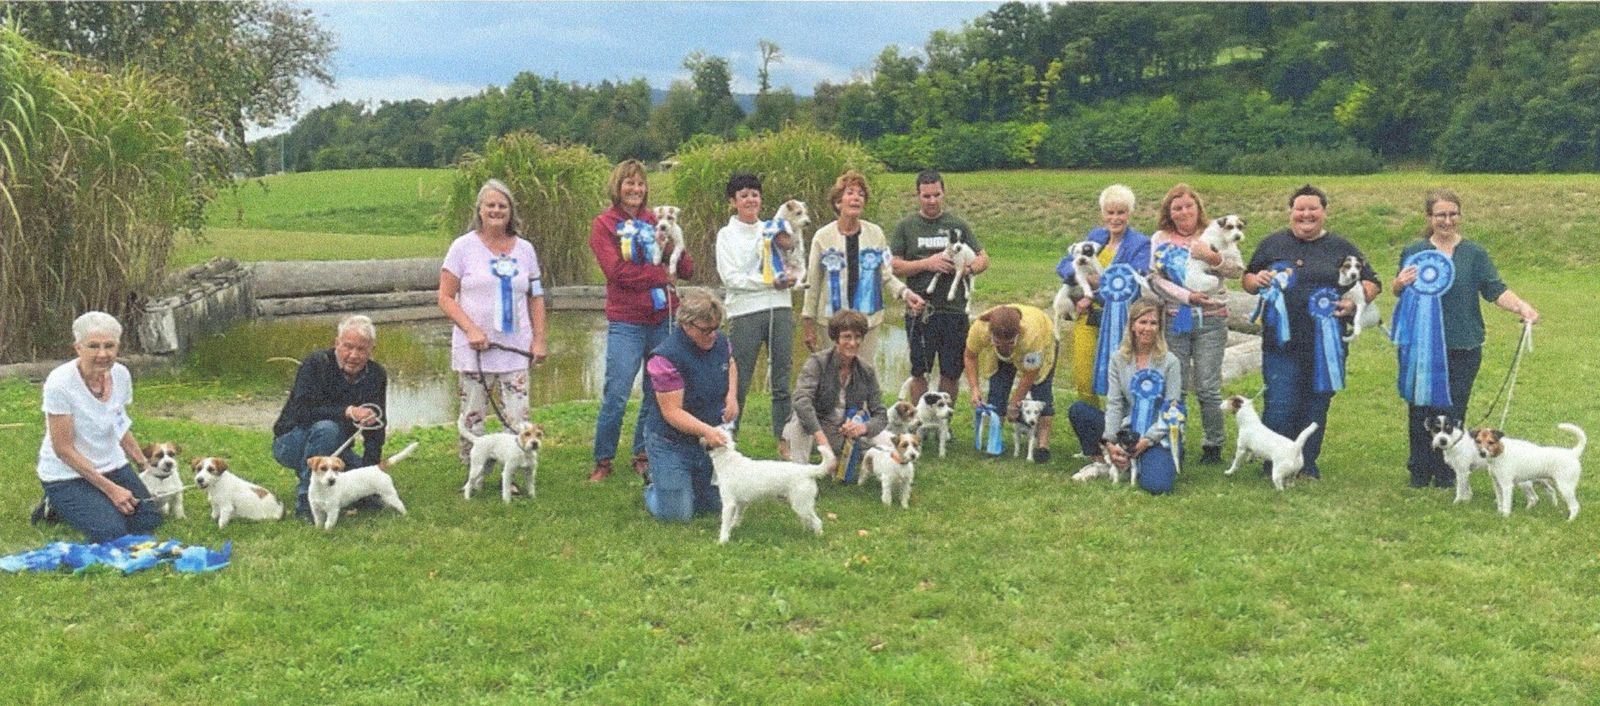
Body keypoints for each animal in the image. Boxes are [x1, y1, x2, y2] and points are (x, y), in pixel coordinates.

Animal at [705, 430, 837, 544]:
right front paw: (734, 527)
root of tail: (807, 470)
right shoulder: (741, 503)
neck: (727, 460)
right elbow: (736, 517)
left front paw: (722, 540)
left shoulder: (729, 504)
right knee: (809, 520)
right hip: (802, 505)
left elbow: (725, 523)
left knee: (817, 521)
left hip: (801, 505)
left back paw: (818, 536)